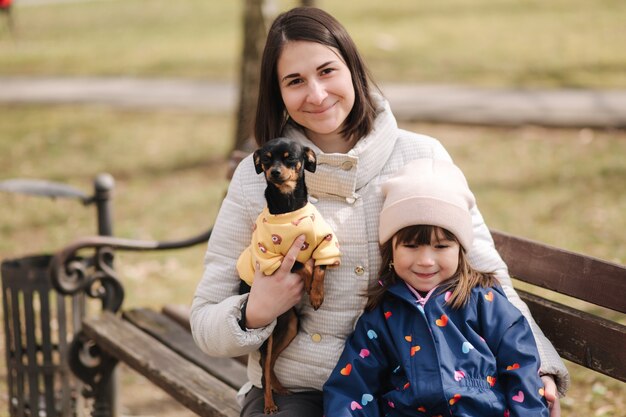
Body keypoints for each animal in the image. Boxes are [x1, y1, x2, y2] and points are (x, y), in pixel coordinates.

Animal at [235, 137, 342, 412]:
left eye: (290, 158)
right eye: (266, 160)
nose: (274, 172)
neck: (288, 207)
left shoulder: (325, 243)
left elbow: (320, 267)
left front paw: (316, 294)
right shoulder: (273, 257)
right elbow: (303, 266)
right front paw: (309, 287)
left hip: (290, 326)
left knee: (270, 364)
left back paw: (280, 388)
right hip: (269, 332)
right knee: (264, 365)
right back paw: (270, 404)